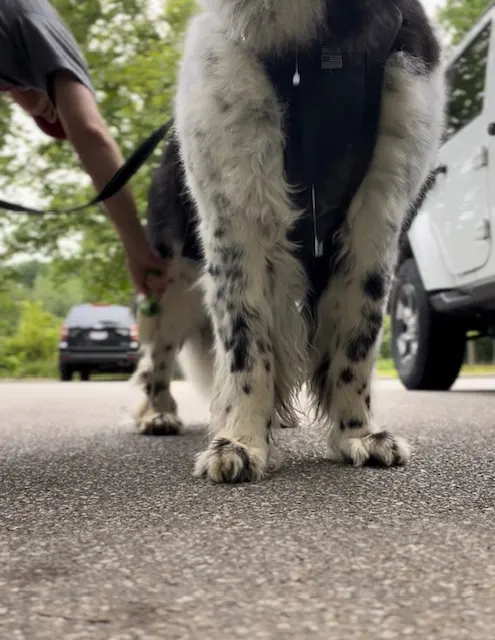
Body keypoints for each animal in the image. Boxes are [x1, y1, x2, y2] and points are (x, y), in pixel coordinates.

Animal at [132, 0, 446, 480]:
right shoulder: (237, 214)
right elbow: (245, 336)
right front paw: (240, 440)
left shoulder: (380, 211)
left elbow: (360, 330)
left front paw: (359, 432)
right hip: (173, 278)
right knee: (157, 357)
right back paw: (158, 413)